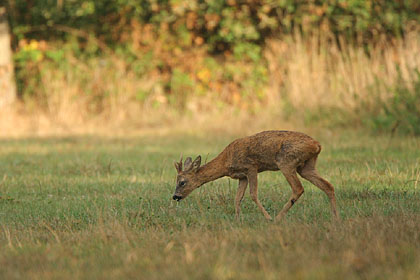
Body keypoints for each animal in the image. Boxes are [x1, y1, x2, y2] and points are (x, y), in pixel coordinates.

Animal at [172, 131, 340, 221]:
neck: (226, 161)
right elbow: (237, 198)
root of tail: (318, 145)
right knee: (328, 186)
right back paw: (335, 219)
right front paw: (237, 220)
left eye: (182, 182)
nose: (175, 196)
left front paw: (267, 217)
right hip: (306, 166)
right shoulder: (242, 176)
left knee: (298, 188)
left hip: (286, 161)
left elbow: (253, 194)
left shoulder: (251, 167)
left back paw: (277, 218)